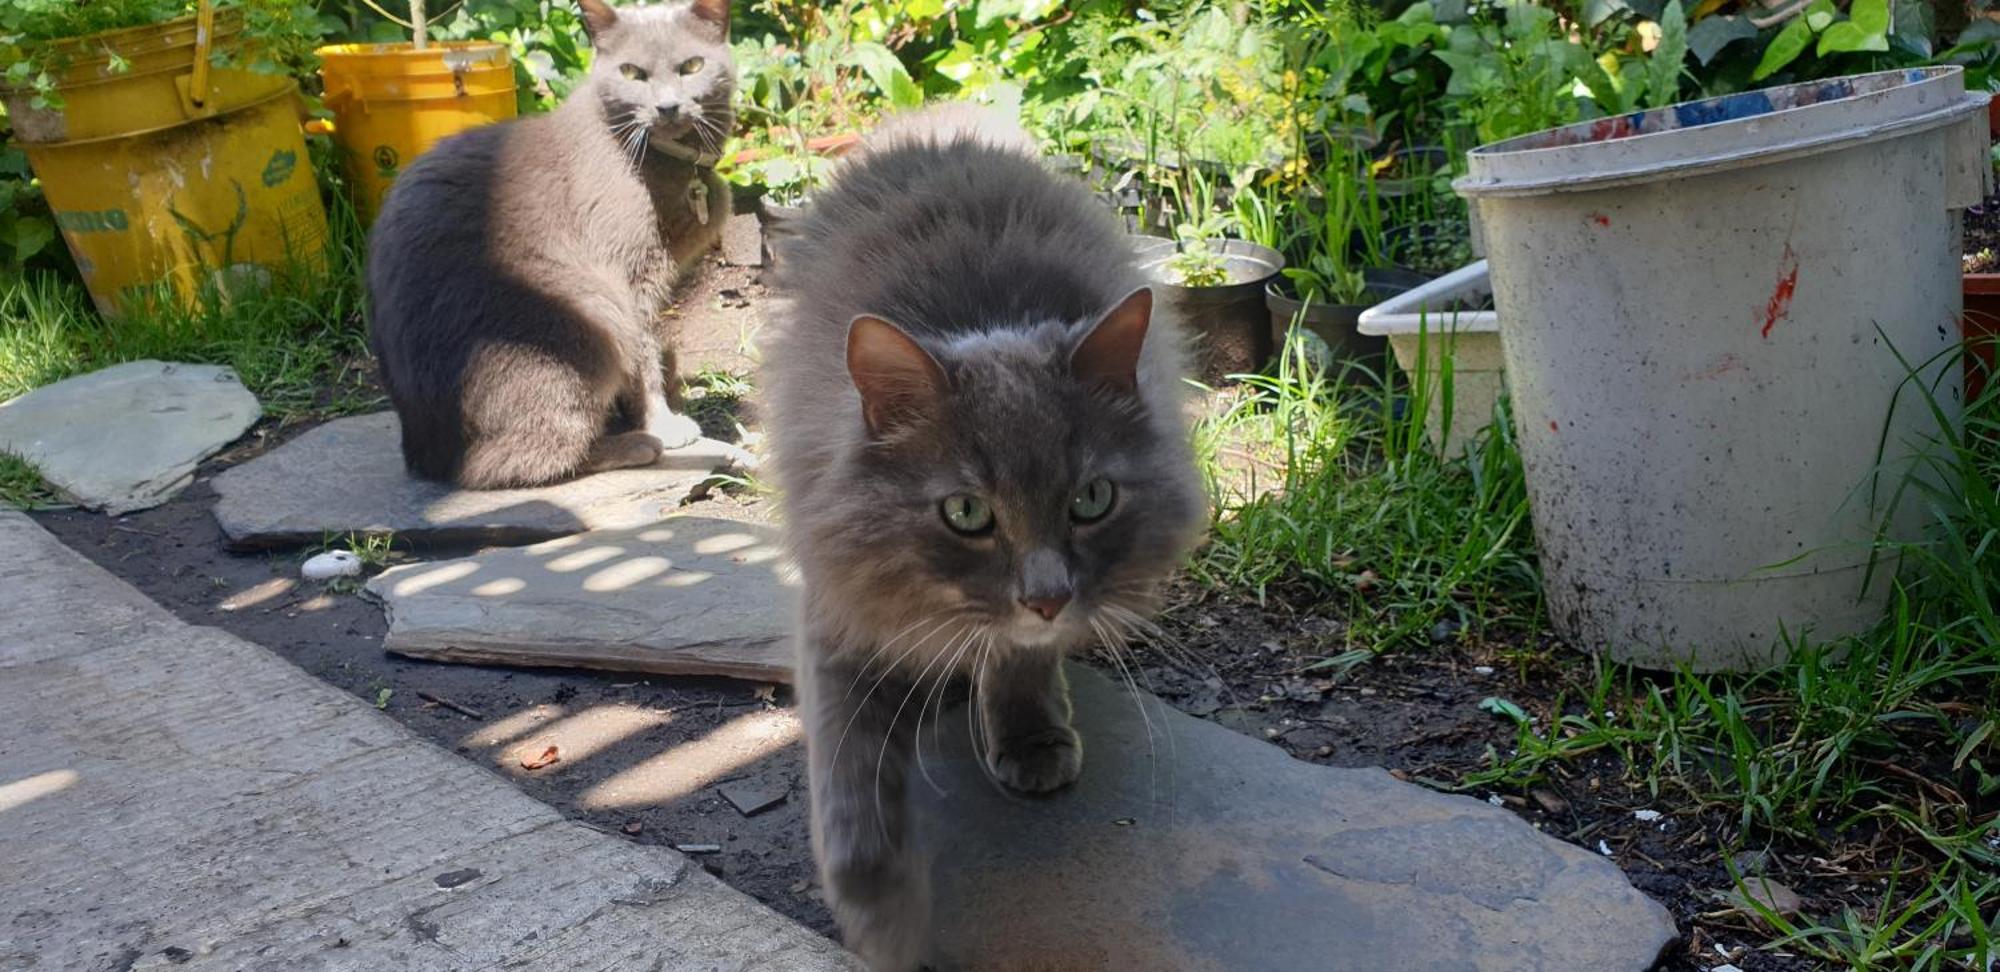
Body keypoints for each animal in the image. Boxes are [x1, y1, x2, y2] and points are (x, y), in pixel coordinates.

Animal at [364, 0, 732, 486]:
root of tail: (425, 454)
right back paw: (637, 444)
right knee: (505, 462)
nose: (667, 106)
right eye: (631, 72)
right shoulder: (629, 282)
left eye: (692, 66)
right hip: (591, 311)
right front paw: (665, 425)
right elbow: (645, 358)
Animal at [760, 102, 1200, 968]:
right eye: (966, 513)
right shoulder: (837, 615)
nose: (1048, 596)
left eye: (1091, 499)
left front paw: (1031, 737)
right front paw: (883, 925)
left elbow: (1020, 660)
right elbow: (850, 791)